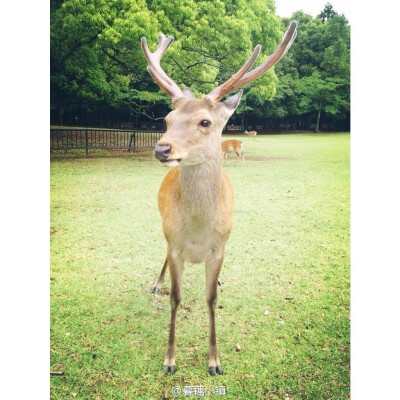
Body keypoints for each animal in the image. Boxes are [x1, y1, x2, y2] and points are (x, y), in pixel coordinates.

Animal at [141, 19, 296, 376]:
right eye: (167, 120)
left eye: (205, 121)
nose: (162, 148)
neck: (199, 232)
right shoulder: (175, 245)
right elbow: (175, 297)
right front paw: (169, 361)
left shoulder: (219, 248)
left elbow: (211, 298)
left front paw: (214, 361)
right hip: (163, 227)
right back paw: (156, 282)